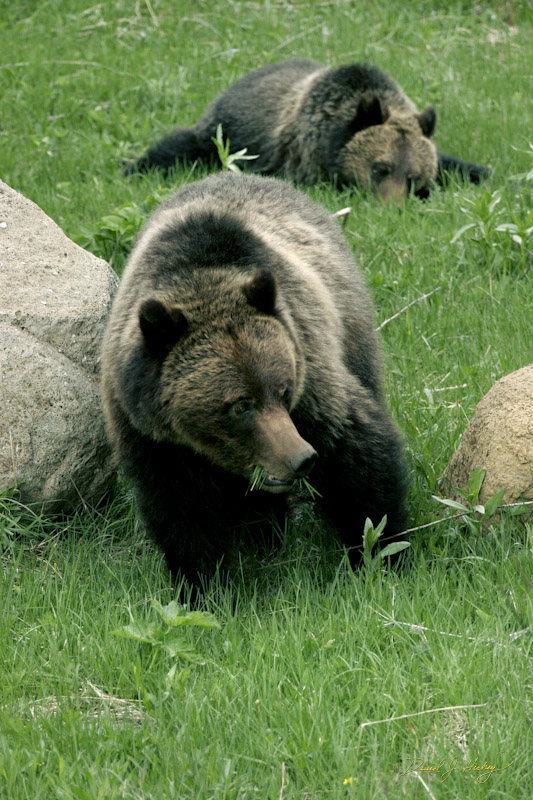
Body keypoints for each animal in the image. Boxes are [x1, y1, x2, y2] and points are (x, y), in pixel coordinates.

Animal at [101, 172, 408, 587]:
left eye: (284, 390)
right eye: (240, 406)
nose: (301, 458)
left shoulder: (309, 365)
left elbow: (357, 452)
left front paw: (382, 551)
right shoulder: (149, 435)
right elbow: (183, 512)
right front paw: (206, 583)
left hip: (350, 328)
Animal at [124, 59, 488, 204]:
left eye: (412, 175)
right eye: (380, 167)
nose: (394, 206)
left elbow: (457, 165)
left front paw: (483, 173)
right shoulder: (306, 156)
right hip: (222, 135)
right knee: (178, 148)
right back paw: (134, 167)